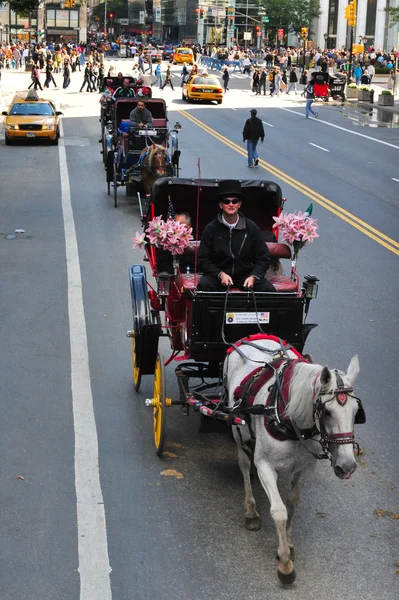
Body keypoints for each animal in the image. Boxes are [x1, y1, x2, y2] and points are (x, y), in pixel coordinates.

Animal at [227, 338, 364, 584]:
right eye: (327, 412)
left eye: (356, 411)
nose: (347, 466)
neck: (290, 421)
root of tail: (257, 337)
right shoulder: (265, 466)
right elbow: (279, 511)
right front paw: (284, 564)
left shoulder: (306, 467)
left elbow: (292, 502)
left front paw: (289, 545)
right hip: (236, 430)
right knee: (244, 464)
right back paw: (250, 509)